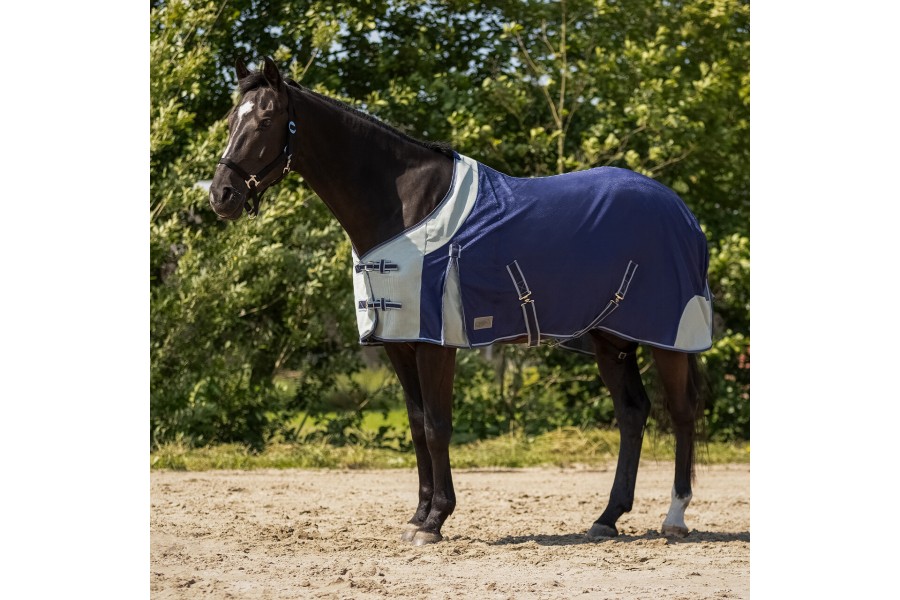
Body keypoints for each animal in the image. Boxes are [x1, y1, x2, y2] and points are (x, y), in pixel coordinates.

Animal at [209, 57, 711, 546]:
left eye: (266, 120)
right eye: (232, 119)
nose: (221, 195)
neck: (405, 208)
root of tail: (682, 212)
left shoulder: (435, 341)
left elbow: (437, 426)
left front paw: (435, 521)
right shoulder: (399, 342)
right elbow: (416, 425)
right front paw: (417, 516)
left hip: (668, 337)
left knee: (682, 413)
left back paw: (675, 517)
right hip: (612, 339)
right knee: (633, 413)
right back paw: (607, 518)